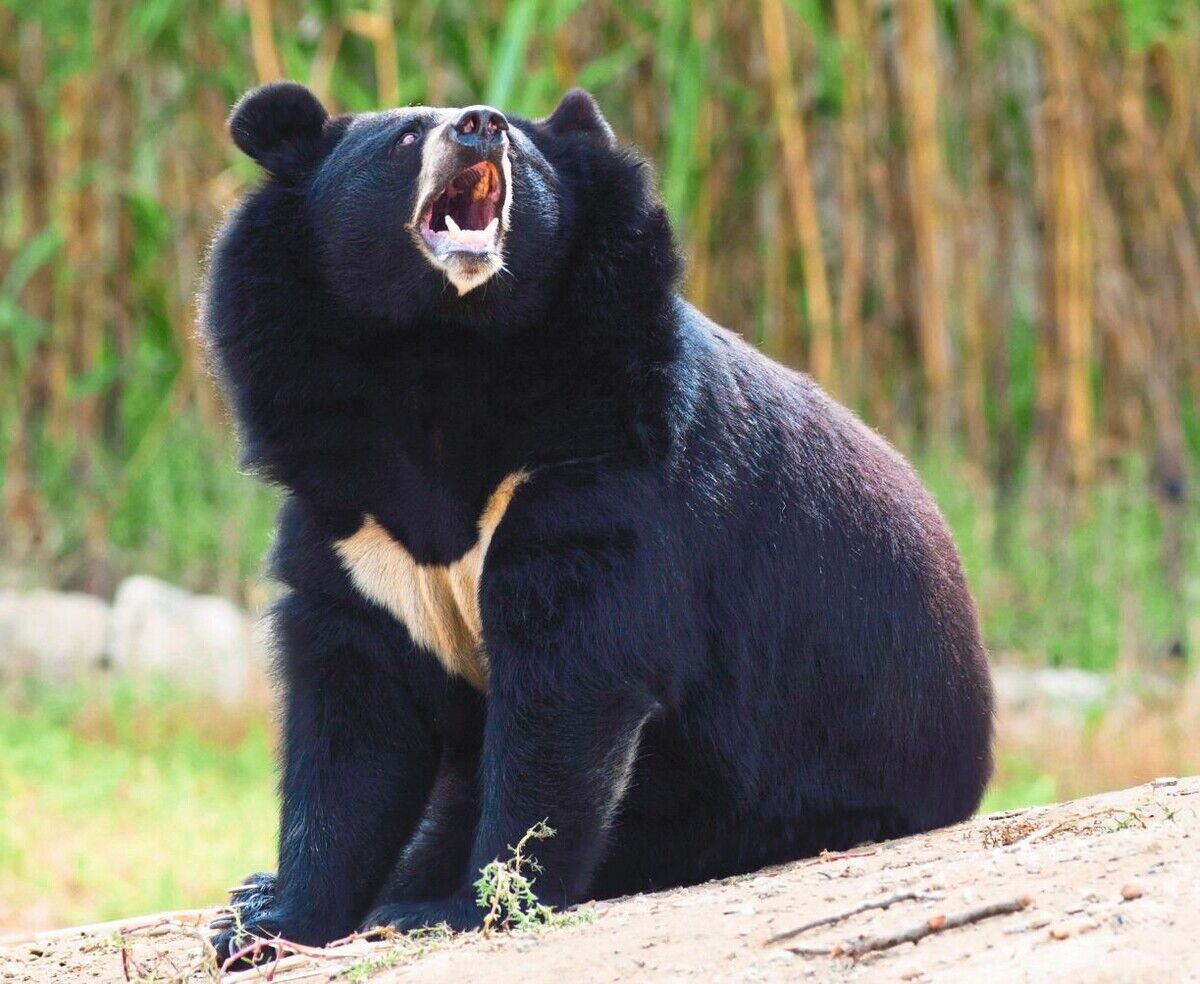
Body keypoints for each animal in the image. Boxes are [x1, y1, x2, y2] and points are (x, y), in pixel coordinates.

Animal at [202, 81, 993, 959]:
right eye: (407, 137)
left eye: (518, 142)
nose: (481, 125)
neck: (441, 351)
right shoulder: (352, 524)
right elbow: (352, 722)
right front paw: (270, 925)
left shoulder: (600, 471)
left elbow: (568, 689)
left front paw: (456, 908)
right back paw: (252, 891)